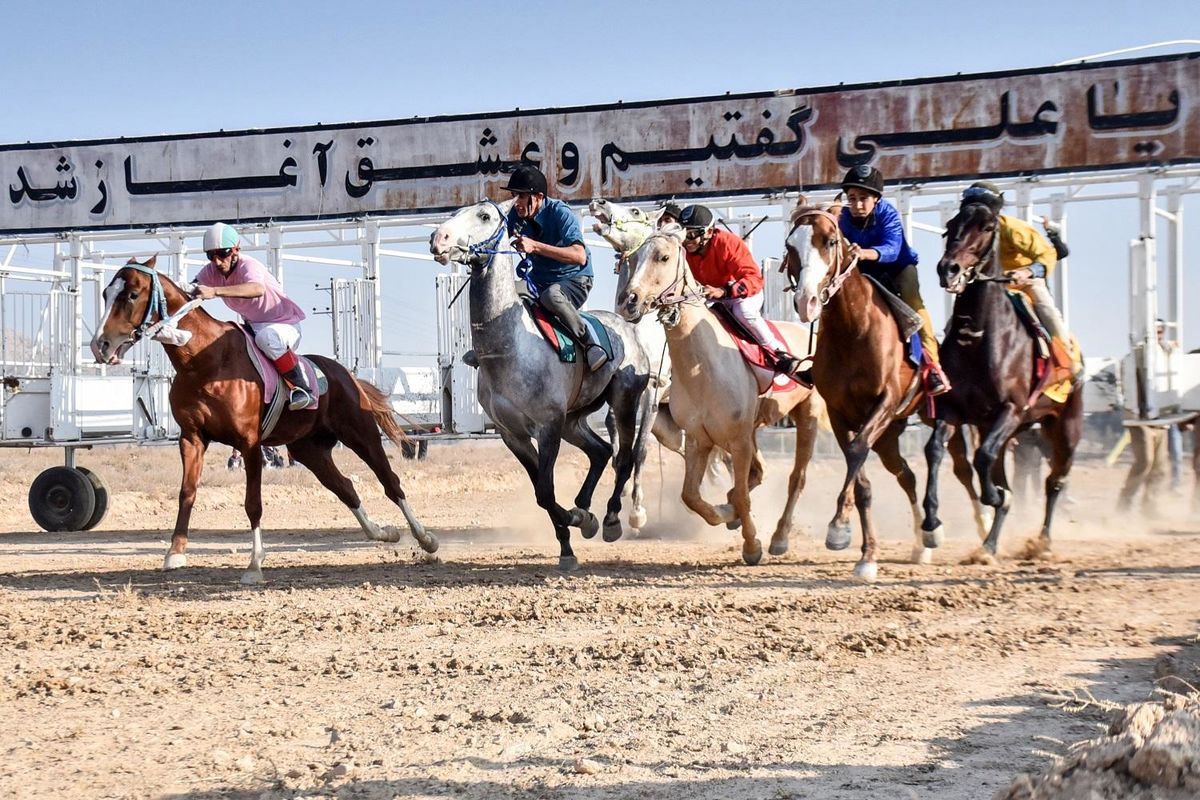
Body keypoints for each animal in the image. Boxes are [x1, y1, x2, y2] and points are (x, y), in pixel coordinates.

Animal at [90, 260, 436, 585]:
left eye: (132, 294)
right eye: (105, 293)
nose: (100, 345)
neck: (203, 361)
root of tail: (346, 374)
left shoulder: (250, 443)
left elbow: (252, 503)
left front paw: (254, 564)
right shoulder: (192, 438)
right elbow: (187, 492)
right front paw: (175, 552)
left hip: (361, 435)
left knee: (391, 483)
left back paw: (425, 539)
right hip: (309, 450)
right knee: (345, 487)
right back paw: (383, 532)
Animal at [432, 197, 652, 573]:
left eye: (484, 215)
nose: (438, 238)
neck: (512, 347)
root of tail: (629, 329)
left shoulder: (547, 426)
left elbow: (546, 491)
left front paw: (575, 532)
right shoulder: (513, 435)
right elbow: (540, 492)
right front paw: (573, 533)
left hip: (623, 401)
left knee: (623, 457)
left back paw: (610, 519)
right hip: (574, 419)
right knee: (600, 451)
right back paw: (584, 506)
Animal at [619, 224, 825, 563]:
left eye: (663, 257)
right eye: (633, 258)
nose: (628, 301)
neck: (702, 366)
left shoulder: (738, 440)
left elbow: (741, 493)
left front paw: (752, 545)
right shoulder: (698, 440)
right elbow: (691, 496)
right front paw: (726, 514)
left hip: (807, 414)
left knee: (797, 477)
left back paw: (779, 538)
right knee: (759, 473)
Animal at [782, 199, 988, 575]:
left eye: (830, 241)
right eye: (791, 245)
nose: (807, 301)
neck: (853, 331)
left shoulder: (886, 401)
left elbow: (857, 451)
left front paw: (839, 527)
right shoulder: (840, 412)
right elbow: (860, 473)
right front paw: (864, 552)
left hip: (944, 418)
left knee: (962, 470)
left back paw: (977, 530)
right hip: (891, 434)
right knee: (906, 475)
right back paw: (922, 544)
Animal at [916, 203, 1089, 561]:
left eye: (987, 227)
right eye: (950, 225)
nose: (949, 268)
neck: (979, 339)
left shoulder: (1011, 409)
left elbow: (984, 462)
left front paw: (995, 496)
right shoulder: (953, 410)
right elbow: (935, 449)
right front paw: (932, 524)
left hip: (1065, 429)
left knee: (1055, 482)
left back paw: (1042, 542)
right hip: (1003, 431)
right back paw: (988, 546)